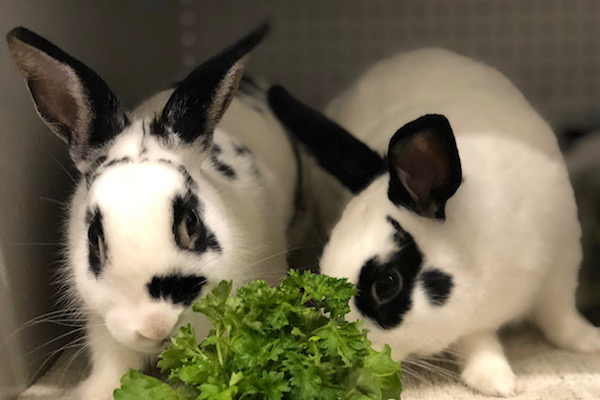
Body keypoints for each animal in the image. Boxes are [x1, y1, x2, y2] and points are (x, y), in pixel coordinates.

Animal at [7, 25, 302, 400]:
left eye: (191, 223)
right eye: (94, 239)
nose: (156, 327)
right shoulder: (102, 326)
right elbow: (112, 364)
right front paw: (95, 390)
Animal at [268, 47, 600, 396]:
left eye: (387, 285)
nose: (350, 361)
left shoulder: (561, 263)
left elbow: (560, 315)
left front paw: (588, 342)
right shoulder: (472, 318)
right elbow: (477, 340)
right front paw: (496, 381)